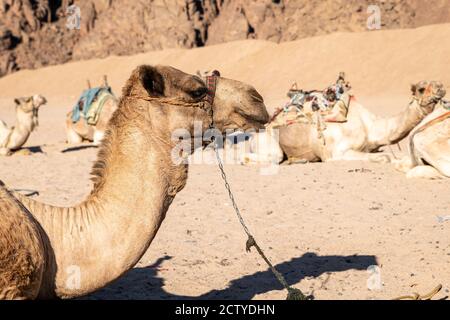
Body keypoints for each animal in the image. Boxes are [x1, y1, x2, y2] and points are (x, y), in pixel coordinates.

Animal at [241, 80, 444, 165]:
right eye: (421, 88)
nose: (441, 88)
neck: (370, 127)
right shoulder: (338, 152)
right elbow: (386, 157)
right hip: (267, 141)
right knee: (271, 157)